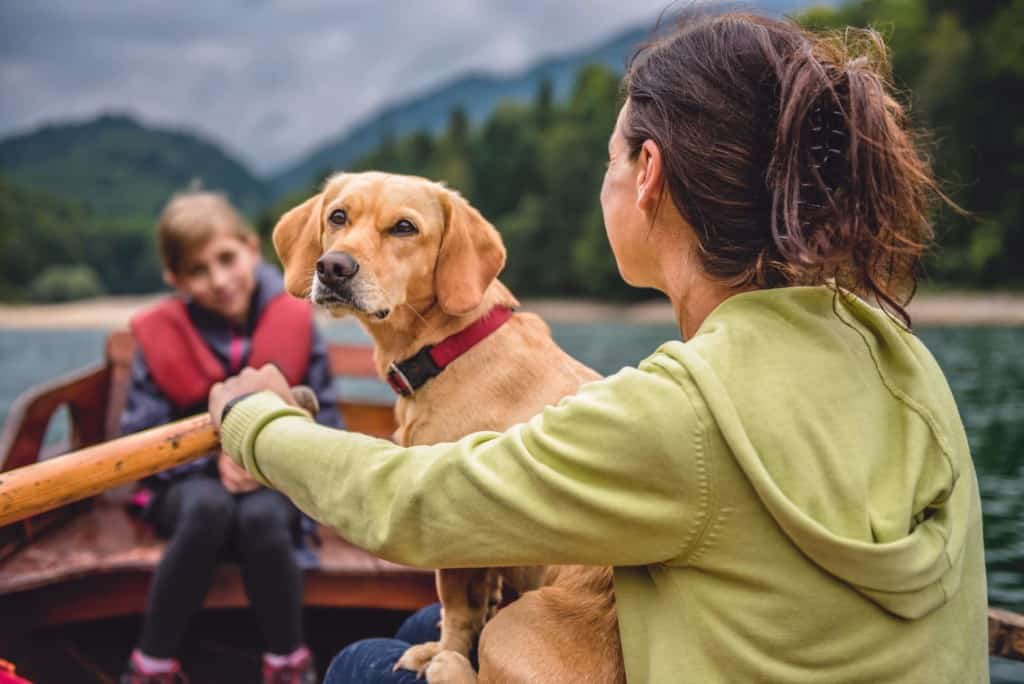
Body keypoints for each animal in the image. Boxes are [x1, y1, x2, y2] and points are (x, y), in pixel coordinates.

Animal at [272, 172, 622, 684]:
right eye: (338, 216)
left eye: (404, 227)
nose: (333, 267)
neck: (450, 346)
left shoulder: (453, 535)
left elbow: (456, 609)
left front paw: (440, 648)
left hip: (514, 628)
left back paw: (447, 664)